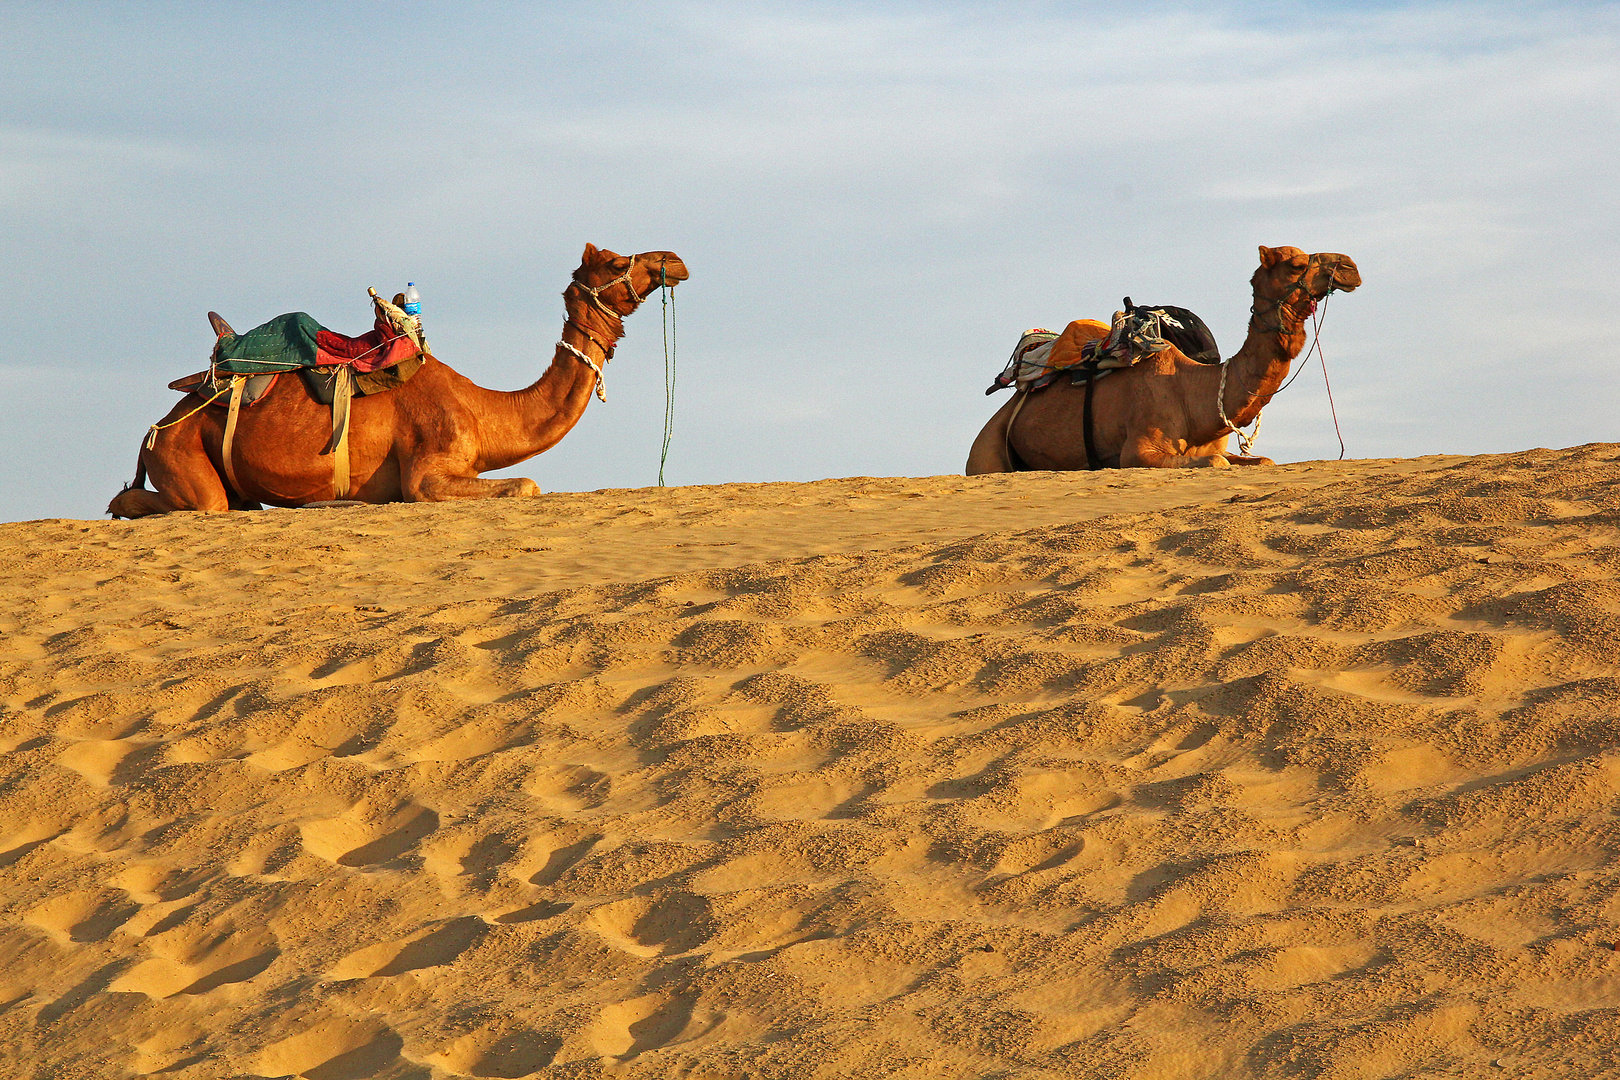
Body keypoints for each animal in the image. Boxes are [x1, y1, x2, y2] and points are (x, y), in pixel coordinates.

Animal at [106, 247, 690, 518]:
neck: (481, 410)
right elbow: (526, 484)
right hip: (182, 452)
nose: (675, 260)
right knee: (173, 502)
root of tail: (155, 427)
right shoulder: (427, 474)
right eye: (615, 261)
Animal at [965, 249, 1360, 476]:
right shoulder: (1137, 450)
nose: (1350, 267)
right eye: (1297, 264)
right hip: (985, 451)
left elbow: (1262, 461)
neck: (1195, 390)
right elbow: (1213, 463)